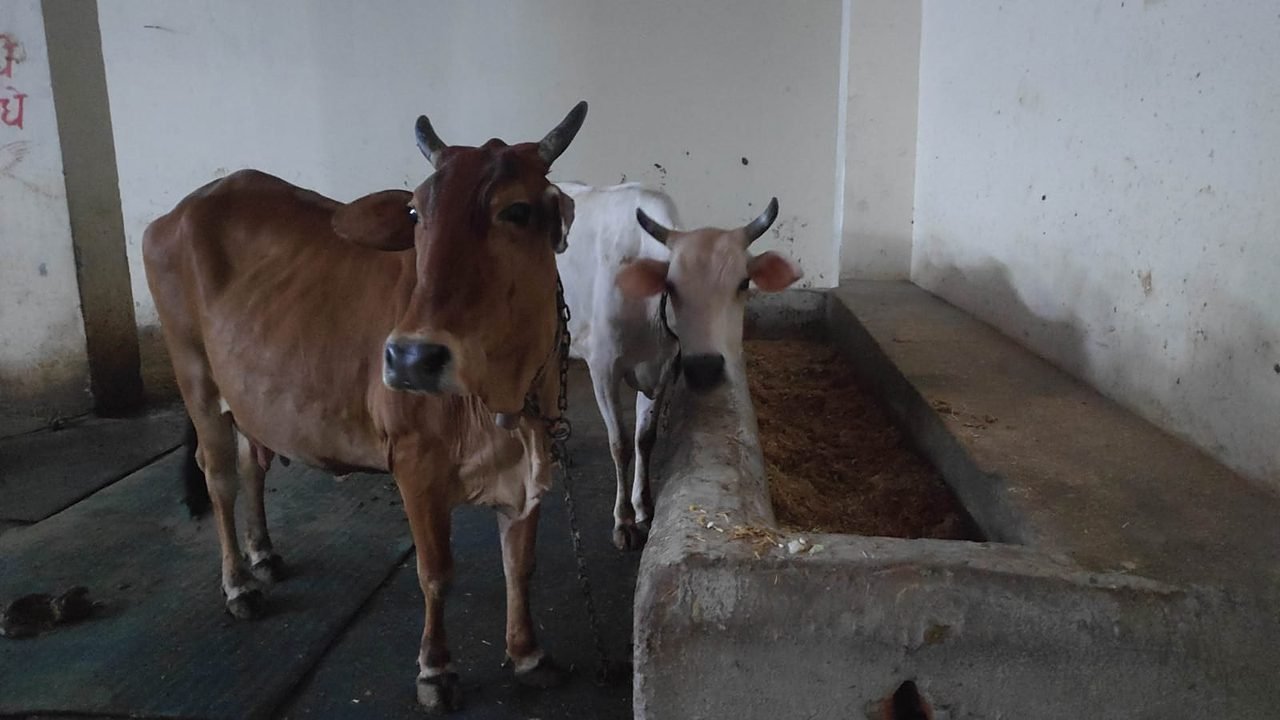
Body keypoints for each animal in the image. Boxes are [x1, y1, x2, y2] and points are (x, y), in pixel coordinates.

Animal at [142, 102, 588, 712]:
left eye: (516, 210)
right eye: (415, 211)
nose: (410, 358)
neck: (502, 393)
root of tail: (182, 208)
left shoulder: (529, 462)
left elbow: (520, 565)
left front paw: (528, 655)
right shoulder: (415, 463)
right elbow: (435, 572)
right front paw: (435, 671)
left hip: (254, 398)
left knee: (254, 463)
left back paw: (265, 555)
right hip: (196, 378)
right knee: (220, 479)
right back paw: (239, 584)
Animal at [555, 182, 803, 550]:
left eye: (744, 283)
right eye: (670, 286)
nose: (705, 368)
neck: (648, 314)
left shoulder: (664, 368)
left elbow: (644, 438)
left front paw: (644, 508)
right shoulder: (603, 369)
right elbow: (620, 445)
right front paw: (623, 520)